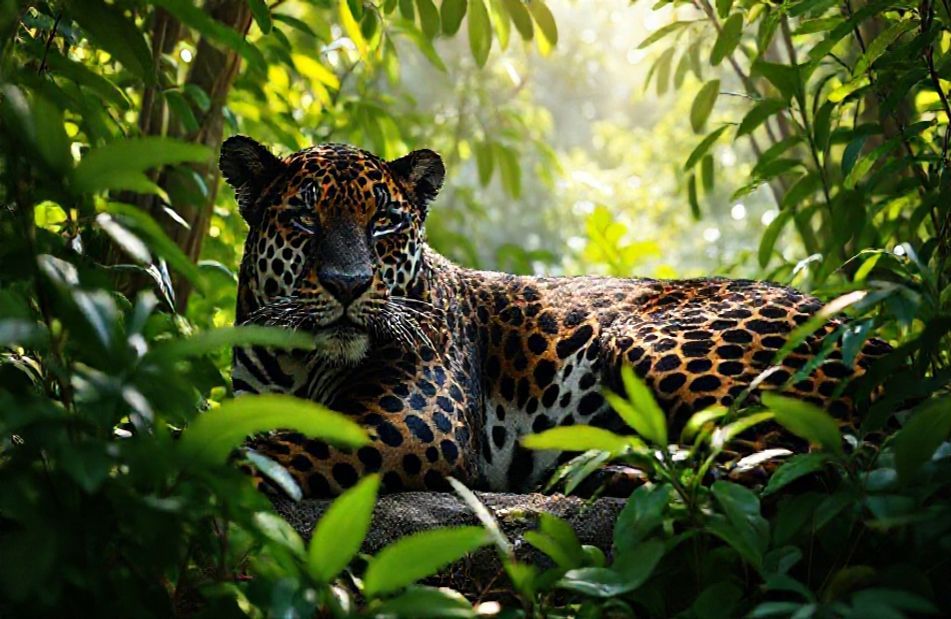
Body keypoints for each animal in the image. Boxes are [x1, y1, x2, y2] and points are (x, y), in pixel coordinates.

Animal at [219, 136, 891, 498]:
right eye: (304, 219)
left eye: (384, 222)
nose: (349, 285)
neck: (298, 361)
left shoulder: (412, 423)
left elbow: (270, 454)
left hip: (650, 340)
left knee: (792, 461)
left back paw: (595, 473)